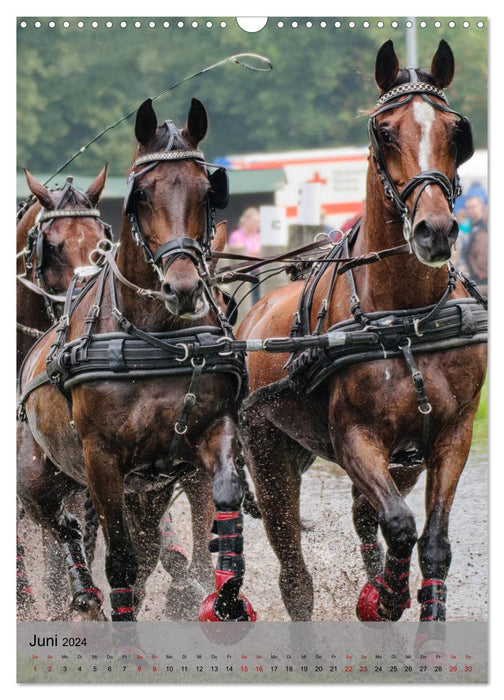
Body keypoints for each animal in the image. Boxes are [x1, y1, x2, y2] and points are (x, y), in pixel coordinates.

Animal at [17, 97, 256, 624]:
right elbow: (120, 559)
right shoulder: (100, 460)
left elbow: (223, 500)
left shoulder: (211, 432)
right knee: (61, 523)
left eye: (208, 192)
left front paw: (226, 595)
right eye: (141, 195)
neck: (156, 340)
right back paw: (81, 596)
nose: (183, 287)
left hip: (148, 490)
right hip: (37, 474)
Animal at [238, 41, 486, 620]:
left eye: (455, 132)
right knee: (294, 574)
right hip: (268, 456)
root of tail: (253, 312)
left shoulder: (452, 433)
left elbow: (433, 544)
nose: (436, 231)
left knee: (363, 518)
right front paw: (386, 598)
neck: (407, 317)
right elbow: (400, 526)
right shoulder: (354, 437)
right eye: (386, 131)